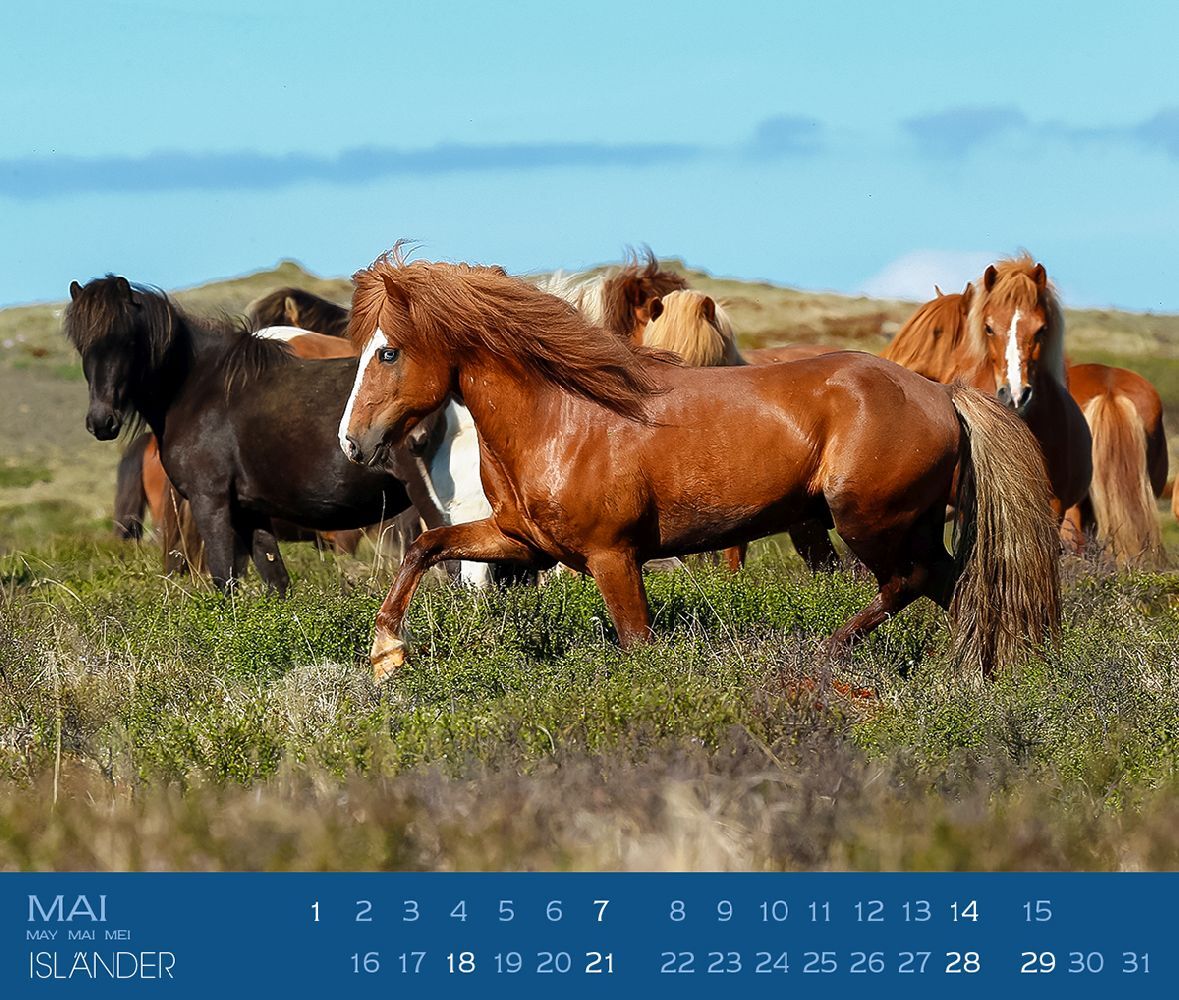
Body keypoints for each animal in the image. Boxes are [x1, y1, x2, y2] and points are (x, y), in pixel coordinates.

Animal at [65, 275, 419, 594]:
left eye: (127, 342)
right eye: (82, 346)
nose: (102, 421)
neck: (202, 388)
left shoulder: (213, 502)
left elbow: (229, 580)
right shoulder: (250, 511)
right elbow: (273, 580)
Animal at [341, 252, 1061, 688]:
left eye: (388, 352)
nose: (352, 442)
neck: (561, 415)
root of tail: (941, 394)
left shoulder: (612, 555)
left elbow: (637, 642)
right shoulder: (523, 541)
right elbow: (429, 546)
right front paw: (385, 657)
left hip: (871, 521)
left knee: (910, 582)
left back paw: (828, 654)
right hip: (902, 525)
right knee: (952, 584)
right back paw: (981, 671)